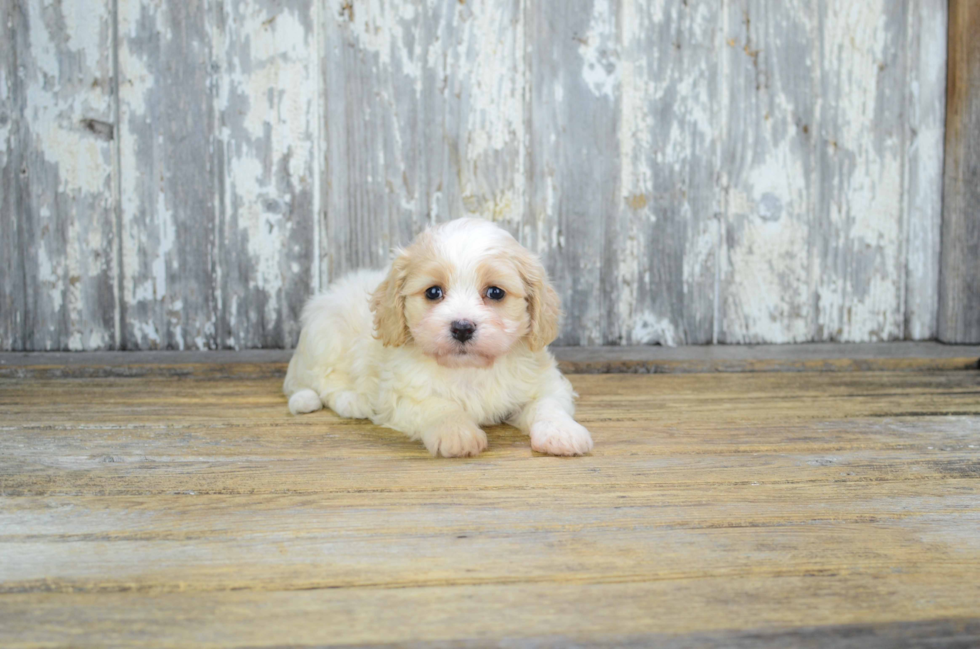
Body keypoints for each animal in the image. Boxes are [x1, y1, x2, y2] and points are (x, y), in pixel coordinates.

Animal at [280, 218, 592, 456]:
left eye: (495, 292)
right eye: (433, 292)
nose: (462, 327)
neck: (468, 370)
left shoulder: (545, 382)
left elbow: (549, 405)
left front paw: (562, 433)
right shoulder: (404, 394)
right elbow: (439, 406)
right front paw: (456, 433)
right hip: (328, 337)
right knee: (324, 381)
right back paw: (351, 401)